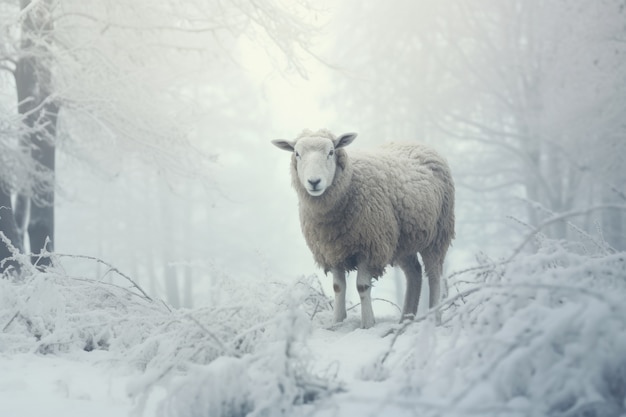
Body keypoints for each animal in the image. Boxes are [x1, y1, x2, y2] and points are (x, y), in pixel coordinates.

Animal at [270, 128, 454, 326]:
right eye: (297, 153)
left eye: (331, 152)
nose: (314, 181)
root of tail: (416, 143)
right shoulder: (332, 249)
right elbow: (338, 287)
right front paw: (337, 321)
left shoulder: (370, 245)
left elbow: (362, 286)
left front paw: (368, 323)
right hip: (403, 240)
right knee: (414, 273)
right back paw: (405, 319)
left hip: (438, 233)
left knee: (434, 274)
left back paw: (434, 317)